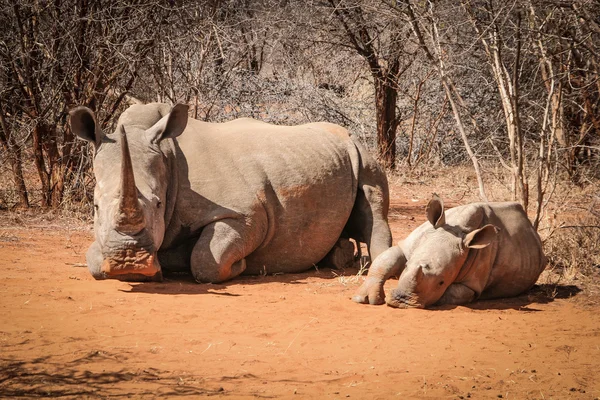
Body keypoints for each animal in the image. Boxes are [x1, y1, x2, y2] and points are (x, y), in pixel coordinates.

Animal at [70, 104, 392, 284]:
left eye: (159, 204)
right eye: (95, 207)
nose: (128, 262)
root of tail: (347, 133)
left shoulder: (247, 215)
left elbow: (205, 260)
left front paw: (241, 266)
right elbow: (92, 257)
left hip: (360, 150)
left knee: (373, 206)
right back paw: (339, 255)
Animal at [354, 195, 548, 308]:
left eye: (441, 282)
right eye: (407, 266)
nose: (401, 300)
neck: (460, 229)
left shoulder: (472, 284)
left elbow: (453, 292)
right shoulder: (410, 244)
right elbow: (384, 260)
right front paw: (364, 299)